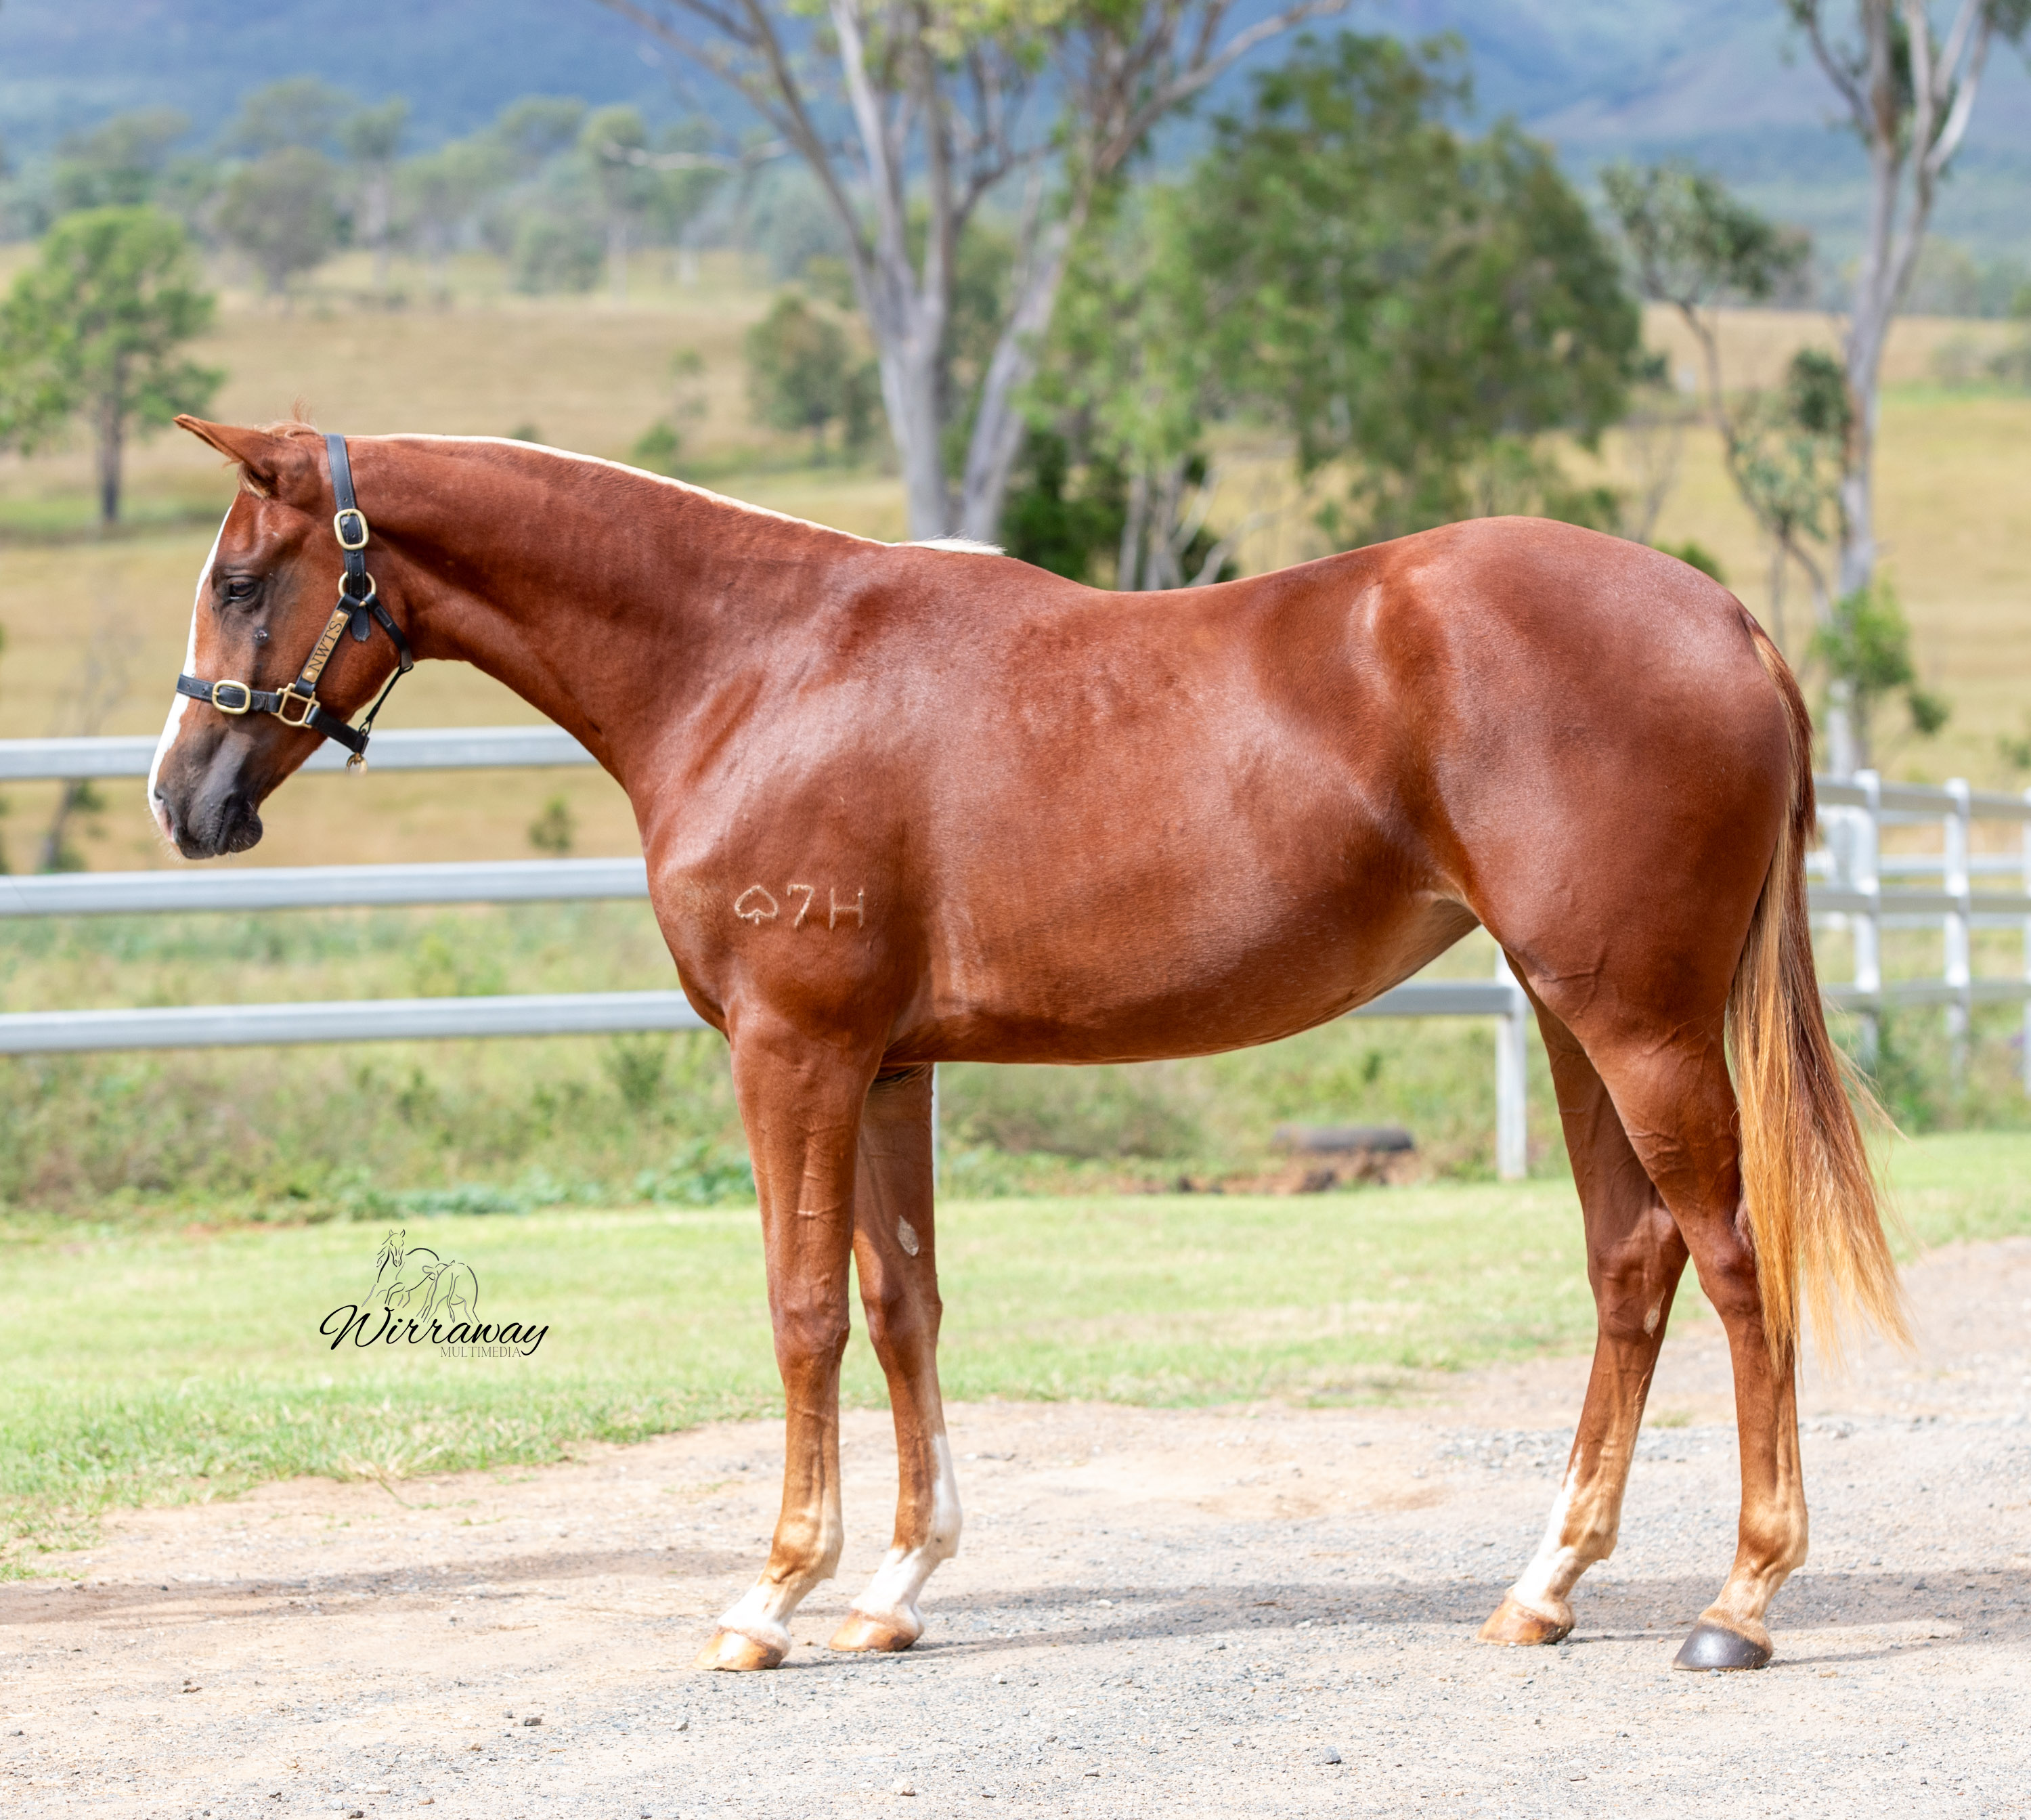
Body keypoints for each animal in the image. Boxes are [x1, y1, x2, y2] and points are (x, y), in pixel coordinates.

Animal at [148, 417, 1903, 1676]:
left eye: (239, 581)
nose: (184, 801)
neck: (755, 662)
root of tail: (1727, 620)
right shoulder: (885, 1067)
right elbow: (901, 1306)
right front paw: (895, 1586)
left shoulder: (790, 1053)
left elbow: (801, 1315)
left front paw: (770, 1599)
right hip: (1570, 1015)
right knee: (1631, 1263)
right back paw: (1544, 1586)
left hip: (1636, 1023)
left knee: (1732, 1259)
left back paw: (1740, 1603)